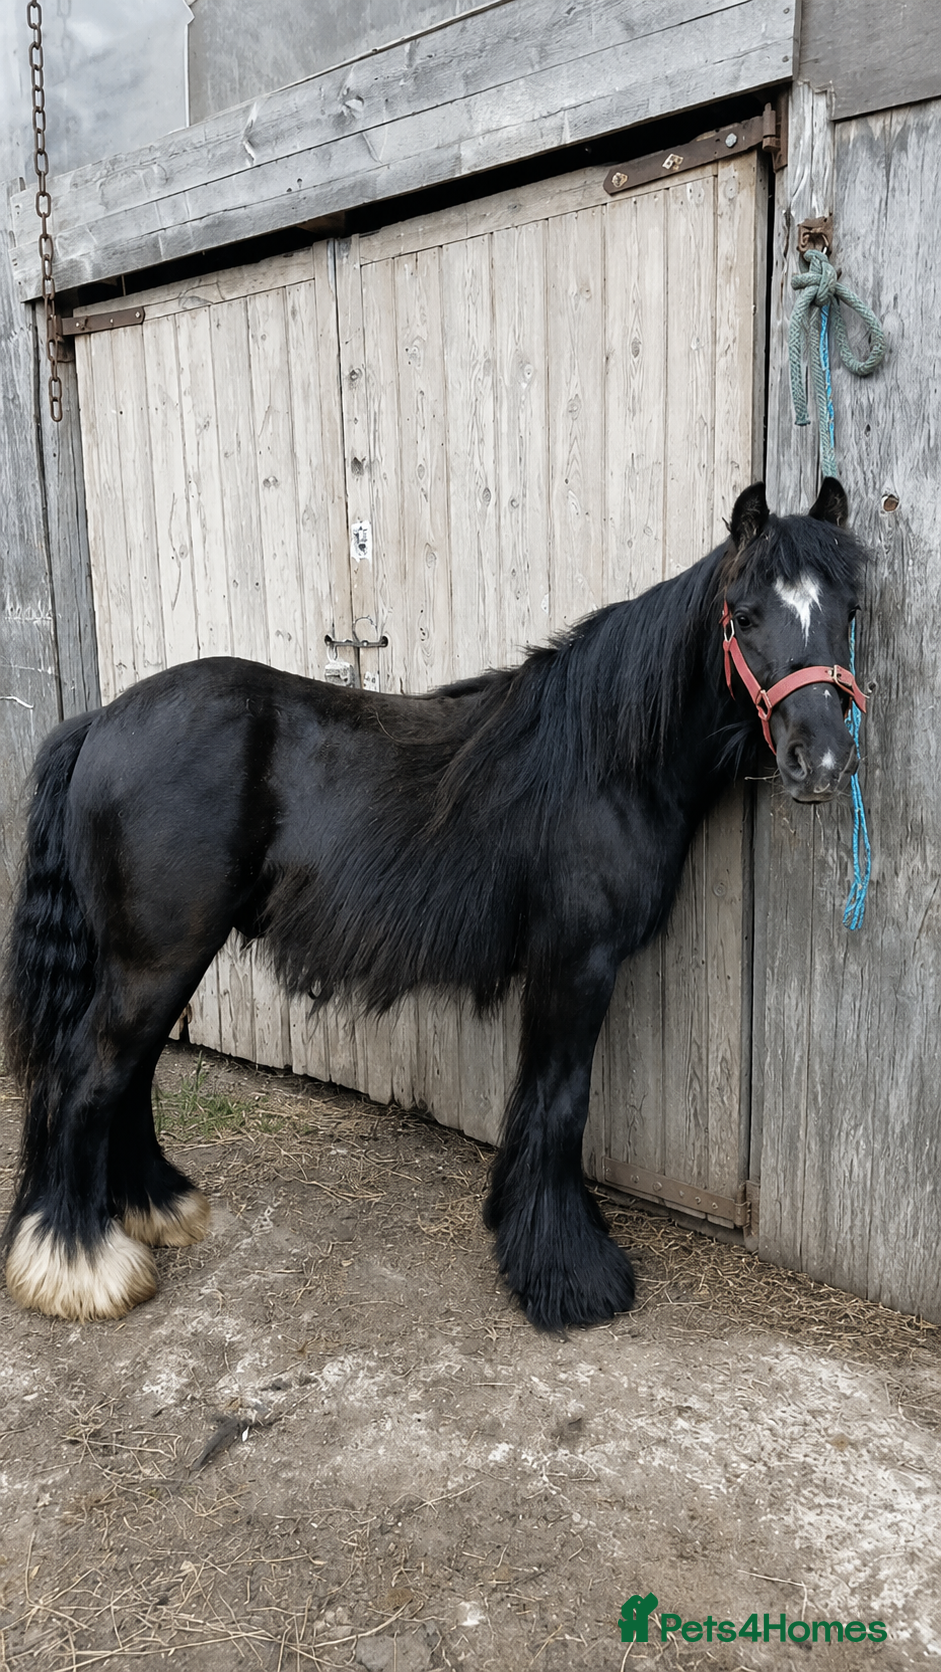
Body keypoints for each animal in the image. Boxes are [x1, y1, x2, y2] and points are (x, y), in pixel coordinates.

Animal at [2, 479, 869, 1329]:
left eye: (847, 612)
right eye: (744, 616)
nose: (820, 760)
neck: (601, 758)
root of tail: (99, 721)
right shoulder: (575, 962)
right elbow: (559, 1101)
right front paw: (567, 1274)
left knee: (130, 1069)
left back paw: (153, 1206)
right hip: (156, 954)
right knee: (89, 1073)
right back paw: (78, 1264)